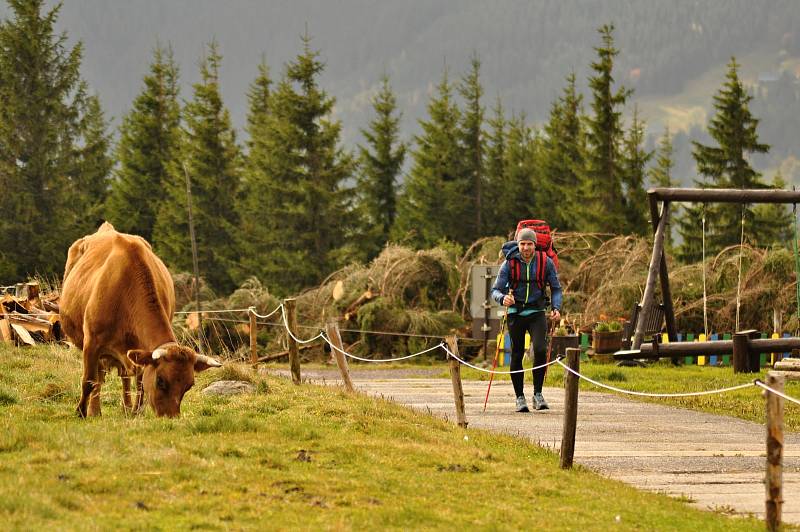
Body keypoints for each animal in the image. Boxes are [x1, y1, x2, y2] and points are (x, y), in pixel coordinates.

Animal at [58, 222, 222, 418]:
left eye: (188, 386)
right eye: (160, 380)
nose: (171, 417)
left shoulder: (140, 350)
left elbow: (140, 382)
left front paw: (136, 411)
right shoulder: (91, 342)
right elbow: (89, 380)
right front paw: (81, 412)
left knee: (124, 376)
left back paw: (126, 407)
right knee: (99, 375)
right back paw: (95, 410)